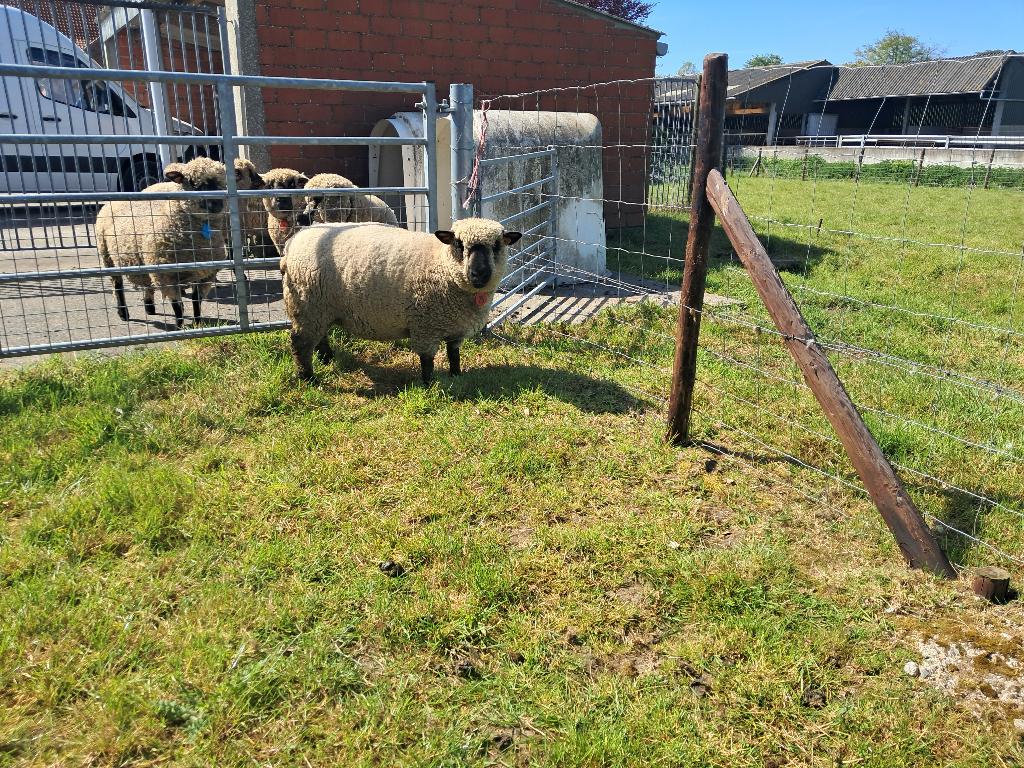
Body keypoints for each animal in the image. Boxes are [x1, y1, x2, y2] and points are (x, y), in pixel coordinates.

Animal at [96, 156, 228, 329]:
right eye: (193, 182)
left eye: (222, 182)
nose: (217, 204)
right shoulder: (166, 276)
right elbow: (177, 305)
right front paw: (180, 327)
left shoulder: (206, 274)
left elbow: (196, 301)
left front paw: (198, 324)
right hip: (107, 255)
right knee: (117, 286)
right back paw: (123, 313)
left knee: (146, 284)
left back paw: (149, 307)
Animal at [280, 217, 522, 383]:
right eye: (459, 245)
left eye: (497, 245)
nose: (479, 275)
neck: (442, 266)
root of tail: (293, 241)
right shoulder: (425, 325)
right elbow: (427, 360)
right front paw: (429, 384)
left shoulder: (456, 328)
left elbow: (454, 354)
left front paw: (456, 375)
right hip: (306, 304)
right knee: (300, 343)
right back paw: (308, 378)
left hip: (319, 309)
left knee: (319, 337)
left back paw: (327, 359)